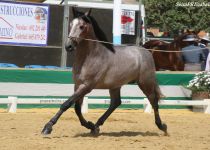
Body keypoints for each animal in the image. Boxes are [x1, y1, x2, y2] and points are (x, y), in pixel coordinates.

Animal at [41, 8, 167, 137]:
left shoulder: (86, 86)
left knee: (153, 101)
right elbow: (77, 108)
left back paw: (162, 126)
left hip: (145, 83)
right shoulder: (78, 85)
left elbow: (66, 104)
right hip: (115, 86)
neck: (90, 57)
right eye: (71, 24)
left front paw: (48, 127)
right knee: (116, 102)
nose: (69, 46)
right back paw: (96, 125)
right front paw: (90, 125)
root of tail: (146, 51)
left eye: (81, 26)